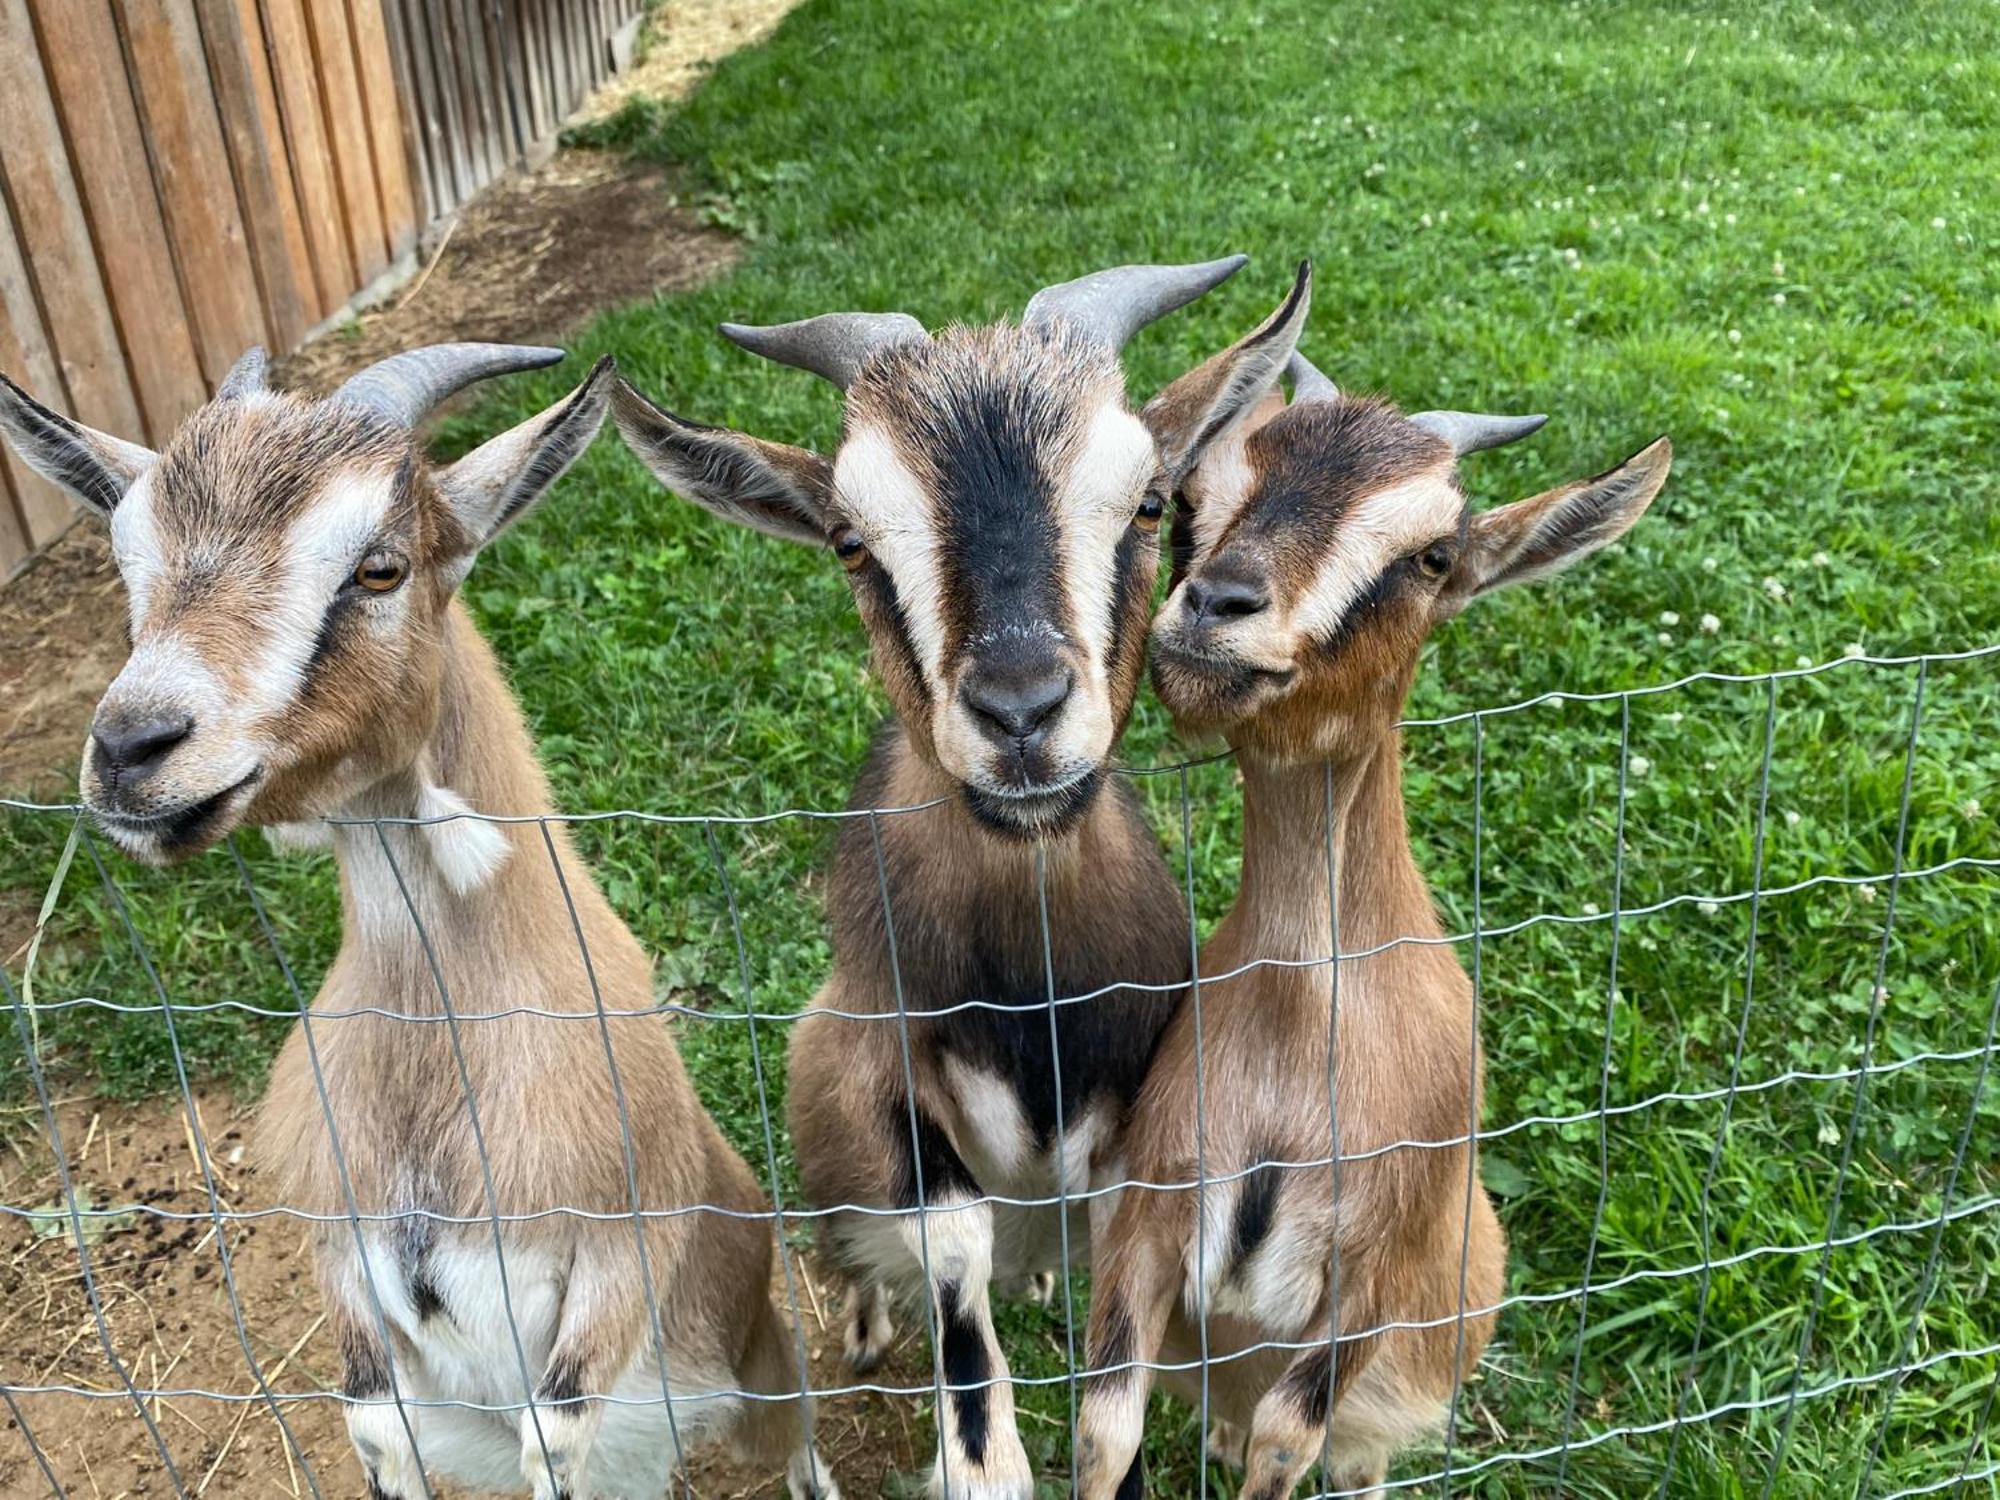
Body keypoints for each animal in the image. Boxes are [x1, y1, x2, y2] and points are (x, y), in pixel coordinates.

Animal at [0, 350, 836, 1500]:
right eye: (131, 567)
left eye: (379, 568)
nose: (132, 748)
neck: (439, 1050)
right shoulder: (343, 1264)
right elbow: (372, 1424)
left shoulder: (626, 1242)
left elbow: (553, 1433)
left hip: (758, 1379)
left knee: (794, 1441)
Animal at [1080, 346, 1672, 1496]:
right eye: (1191, 501)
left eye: (1434, 554)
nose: (1215, 607)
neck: (1301, 1014)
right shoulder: (1144, 1226)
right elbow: (1105, 1430)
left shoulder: (1368, 1289)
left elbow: (1284, 1441)